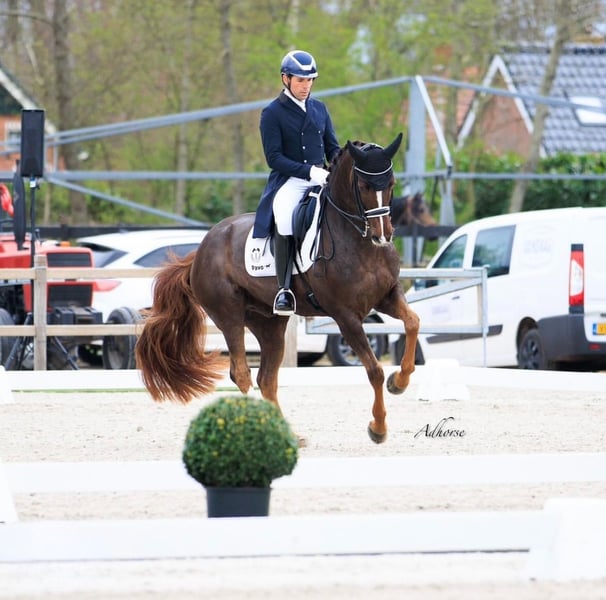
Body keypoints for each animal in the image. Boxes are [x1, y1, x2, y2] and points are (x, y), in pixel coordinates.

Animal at [135, 133, 420, 444]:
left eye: (391, 183)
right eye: (365, 186)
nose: (383, 236)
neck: (359, 242)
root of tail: (200, 249)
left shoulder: (387, 296)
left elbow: (413, 322)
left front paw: (400, 382)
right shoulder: (346, 316)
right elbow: (374, 370)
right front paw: (378, 428)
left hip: (269, 323)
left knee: (266, 378)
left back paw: (285, 434)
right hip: (229, 316)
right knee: (242, 373)